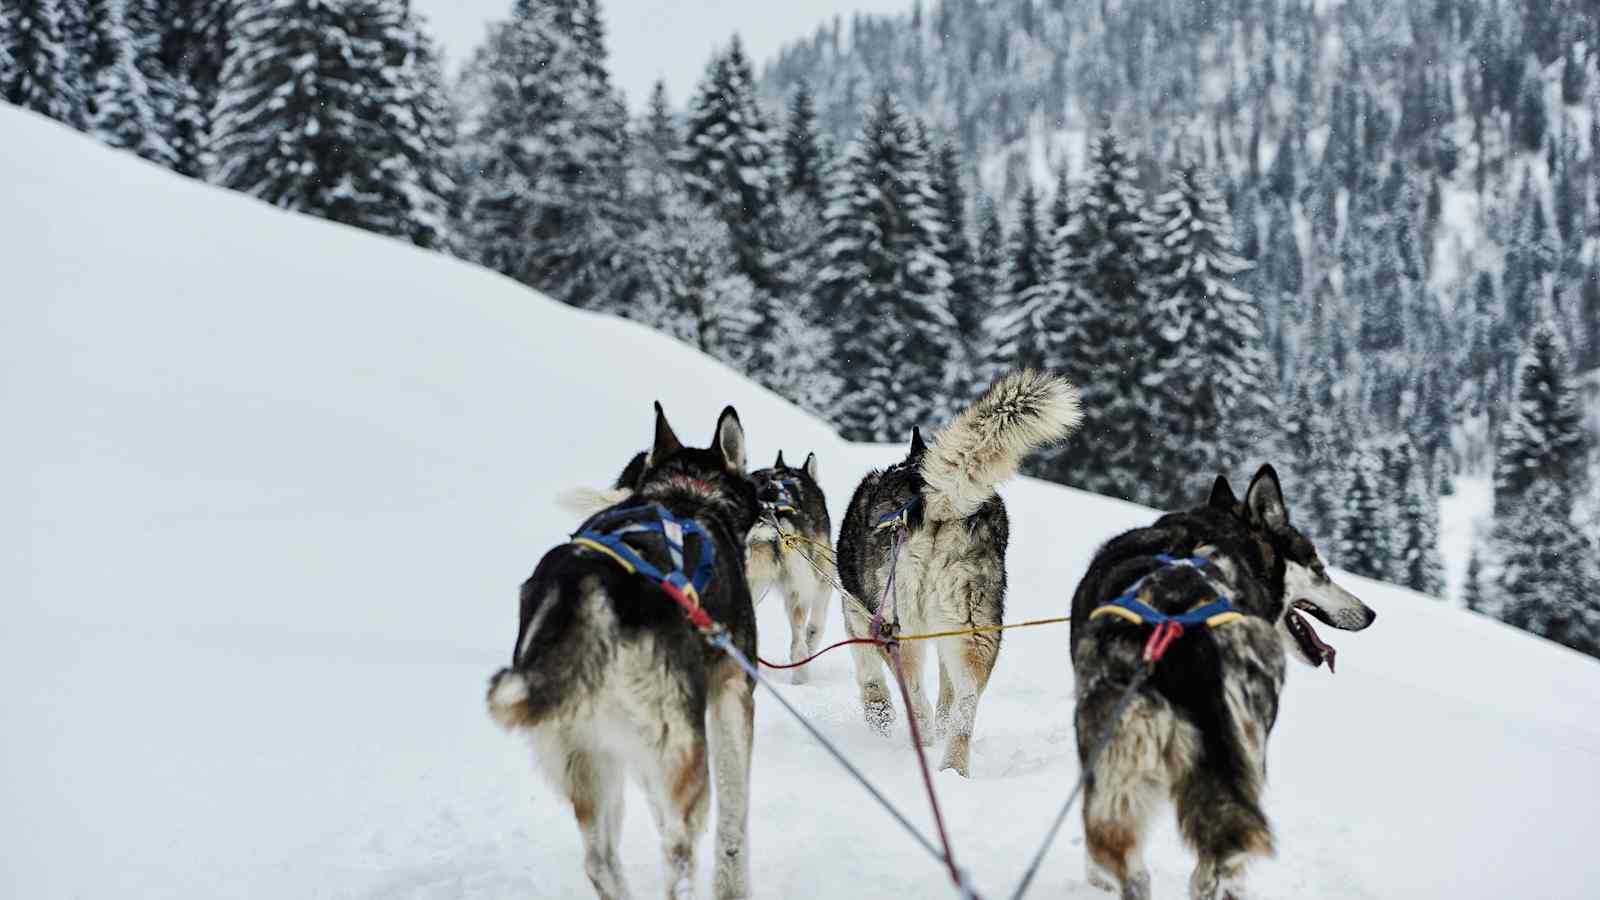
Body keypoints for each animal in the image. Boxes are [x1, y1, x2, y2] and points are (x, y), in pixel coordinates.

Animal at [483, 406, 758, 896]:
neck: (690, 492)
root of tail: (587, 585)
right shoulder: (733, 695)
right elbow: (734, 818)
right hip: (678, 746)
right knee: (678, 852)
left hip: (592, 755)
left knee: (600, 861)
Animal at [832, 368, 1081, 775]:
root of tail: (936, 499)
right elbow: (948, 694)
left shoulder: (857, 612)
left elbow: (868, 674)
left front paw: (879, 716)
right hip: (975, 627)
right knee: (966, 703)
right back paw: (953, 768)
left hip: (902, 625)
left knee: (916, 697)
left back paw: (923, 743)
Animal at [1062, 461, 1376, 896]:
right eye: (1319, 569)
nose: (1370, 613)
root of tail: (1179, 622)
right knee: (1216, 868)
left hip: (1118, 755)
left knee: (1130, 861)